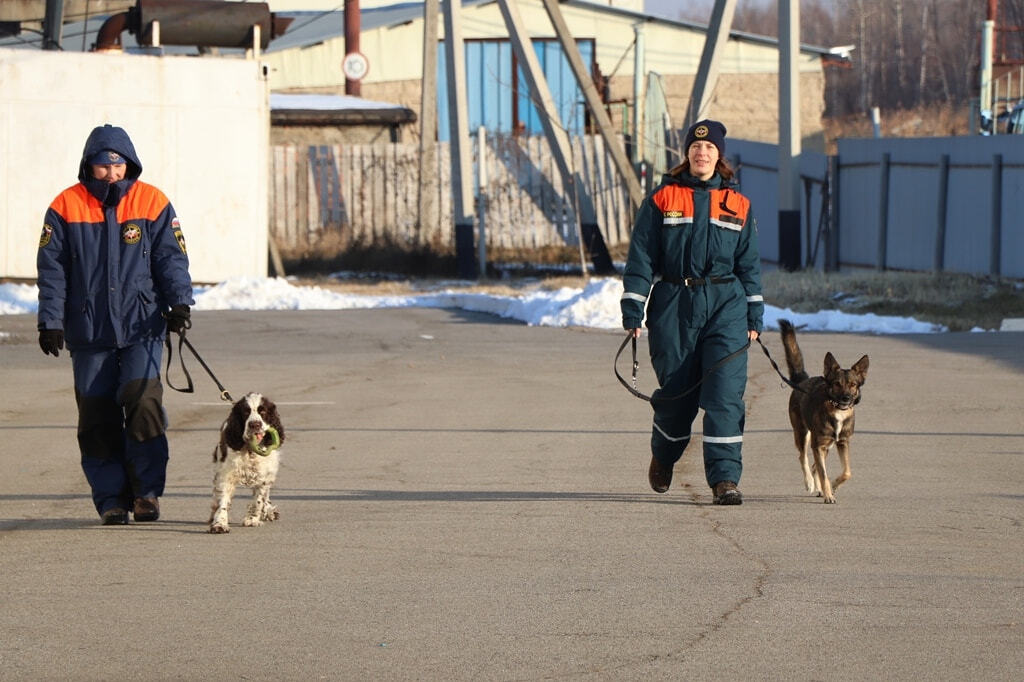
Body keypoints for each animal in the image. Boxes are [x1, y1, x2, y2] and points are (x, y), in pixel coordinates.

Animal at [208, 393, 286, 532]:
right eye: (245, 412)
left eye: (263, 411)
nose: (255, 424)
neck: (250, 451)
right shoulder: (226, 474)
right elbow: (223, 500)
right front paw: (220, 523)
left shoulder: (264, 475)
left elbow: (259, 499)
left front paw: (252, 519)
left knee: (266, 494)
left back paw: (269, 511)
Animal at [778, 317, 868, 499]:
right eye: (837, 384)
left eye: (853, 385)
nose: (846, 398)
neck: (837, 412)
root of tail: (802, 380)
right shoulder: (818, 445)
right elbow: (823, 472)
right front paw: (828, 494)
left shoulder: (842, 443)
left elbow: (846, 472)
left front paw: (832, 487)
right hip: (803, 434)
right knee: (803, 458)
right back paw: (810, 483)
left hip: (826, 445)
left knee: (815, 465)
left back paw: (819, 486)